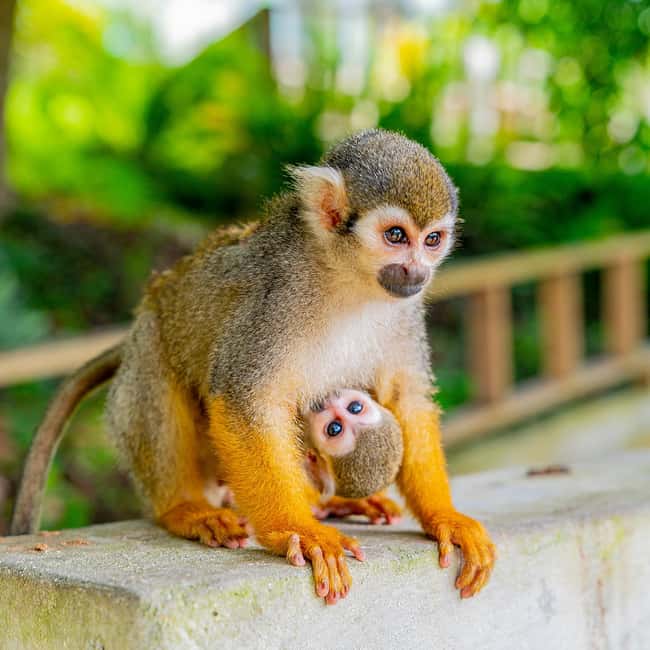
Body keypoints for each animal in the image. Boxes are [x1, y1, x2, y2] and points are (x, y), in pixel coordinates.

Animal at [14, 130, 496, 605]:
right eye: (396, 235)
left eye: (431, 240)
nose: (417, 272)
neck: (345, 277)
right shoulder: (274, 299)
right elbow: (244, 400)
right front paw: (298, 531)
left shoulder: (405, 311)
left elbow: (407, 398)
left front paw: (444, 516)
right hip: (150, 335)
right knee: (157, 369)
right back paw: (183, 508)